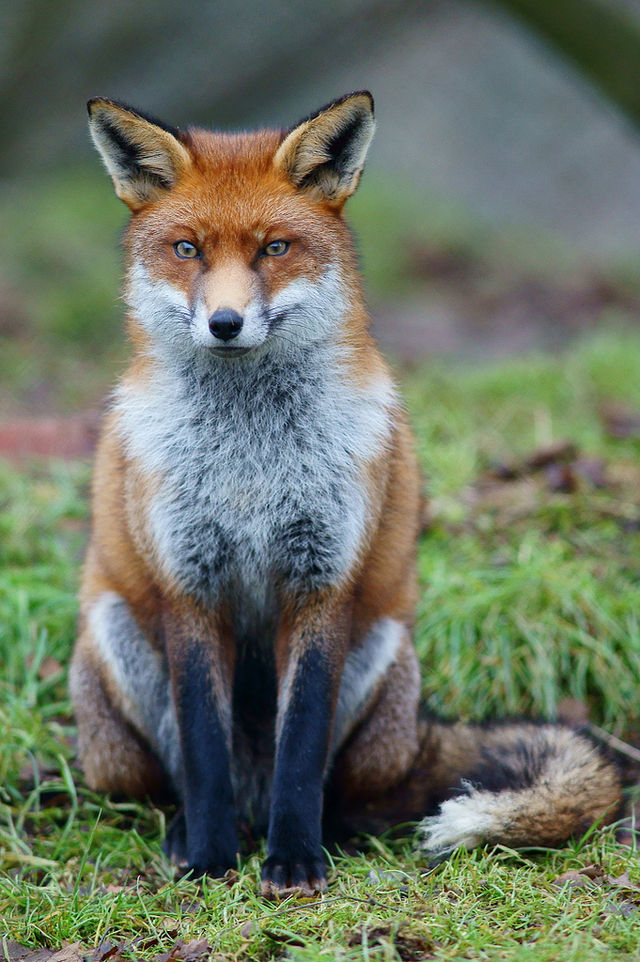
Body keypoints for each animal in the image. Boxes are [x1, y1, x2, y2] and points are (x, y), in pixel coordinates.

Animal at [69, 94, 620, 896]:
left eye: (274, 248)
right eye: (186, 249)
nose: (225, 323)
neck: (251, 459)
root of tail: (420, 728)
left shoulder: (323, 580)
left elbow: (302, 745)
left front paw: (295, 860)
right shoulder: (188, 584)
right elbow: (202, 751)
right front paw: (209, 858)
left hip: (384, 654)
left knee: (350, 795)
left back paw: (326, 833)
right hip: (112, 660)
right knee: (176, 778)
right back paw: (193, 833)